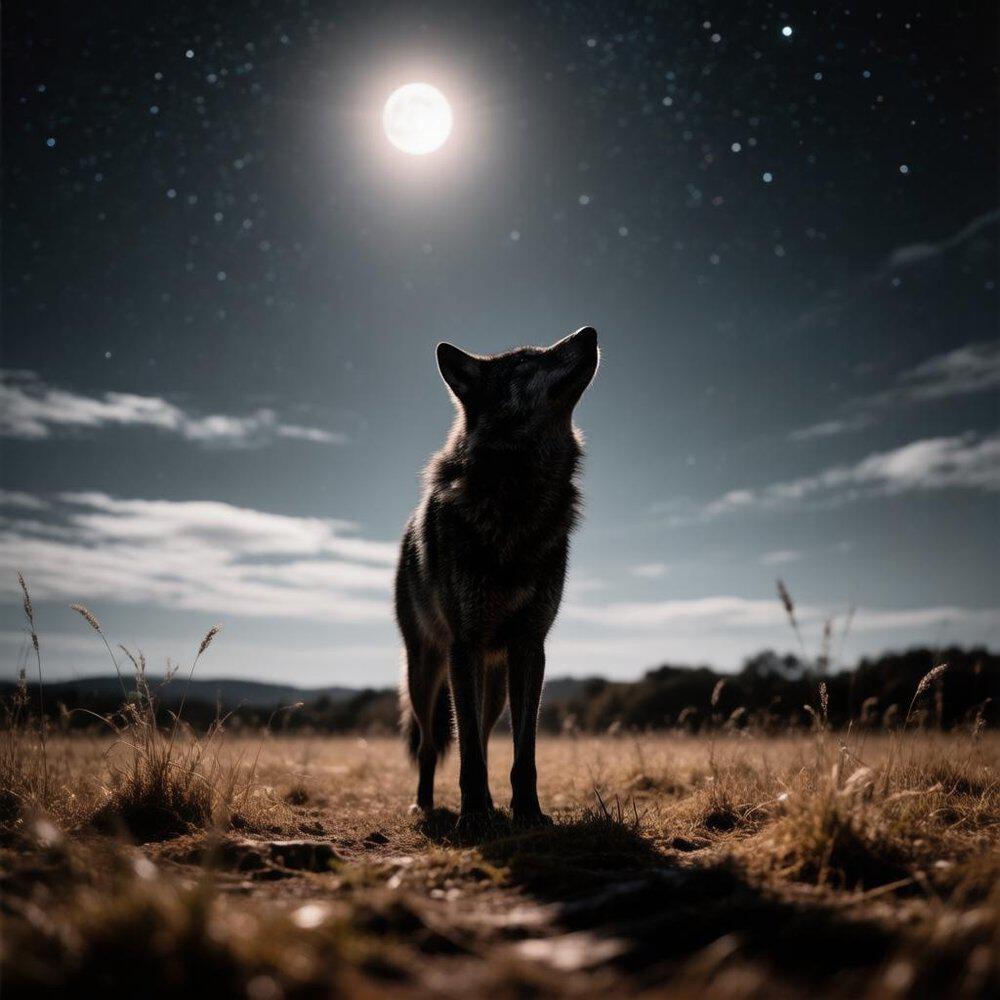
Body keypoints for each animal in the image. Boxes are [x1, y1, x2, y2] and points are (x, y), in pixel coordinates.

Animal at [396, 326, 599, 829]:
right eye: (526, 361)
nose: (589, 332)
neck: (518, 495)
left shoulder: (529, 646)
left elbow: (522, 752)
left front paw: (527, 812)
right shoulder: (463, 646)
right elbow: (466, 750)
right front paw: (472, 817)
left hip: (494, 682)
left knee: (486, 740)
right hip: (426, 671)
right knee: (430, 745)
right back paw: (425, 805)